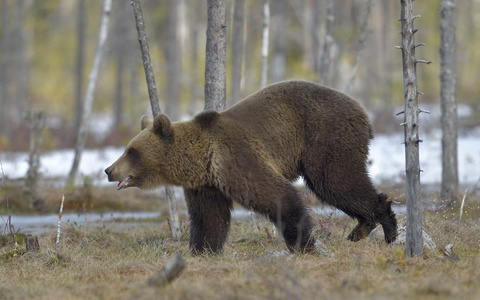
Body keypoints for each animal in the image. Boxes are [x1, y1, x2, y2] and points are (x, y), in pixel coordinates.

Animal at [105, 79, 398, 253]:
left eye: (131, 151)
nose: (108, 170)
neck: (199, 161)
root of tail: (363, 113)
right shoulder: (207, 184)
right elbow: (209, 218)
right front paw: (203, 250)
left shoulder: (236, 159)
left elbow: (280, 197)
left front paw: (303, 245)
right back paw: (360, 230)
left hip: (326, 137)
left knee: (337, 181)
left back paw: (386, 228)